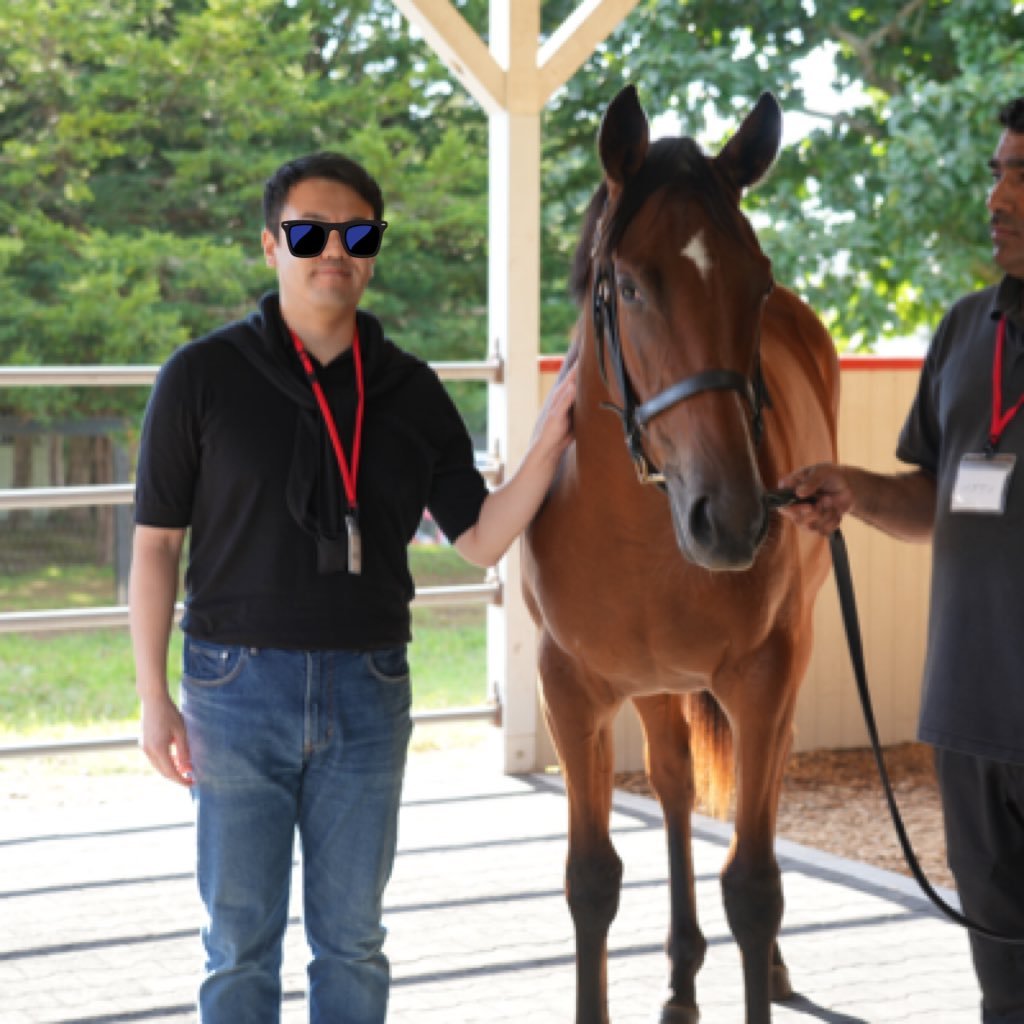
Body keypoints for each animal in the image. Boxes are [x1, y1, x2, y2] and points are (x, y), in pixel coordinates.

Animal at [520, 88, 839, 1024]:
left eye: (758, 281)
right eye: (627, 284)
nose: (730, 518)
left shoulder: (764, 676)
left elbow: (755, 887)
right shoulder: (569, 690)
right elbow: (591, 880)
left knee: (758, 787)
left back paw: (759, 968)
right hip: (657, 688)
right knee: (672, 783)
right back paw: (682, 975)